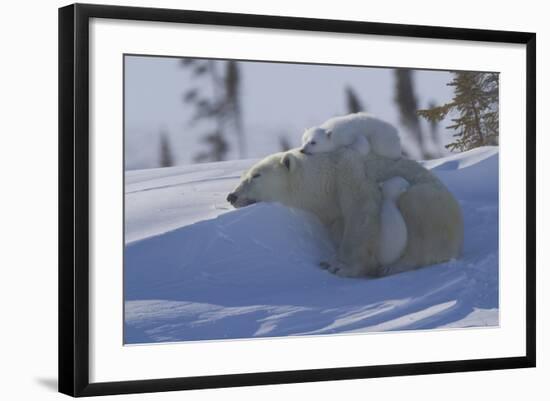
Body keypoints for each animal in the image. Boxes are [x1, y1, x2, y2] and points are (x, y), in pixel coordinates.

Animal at [226, 148, 464, 276]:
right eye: (244, 175)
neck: (322, 178)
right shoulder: (331, 210)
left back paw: (393, 267)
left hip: (431, 201)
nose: (231, 196)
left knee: (418, 217)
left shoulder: (348, 172)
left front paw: (341, 266)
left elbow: (361, 211)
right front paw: (330, 259)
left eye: (256, 175)